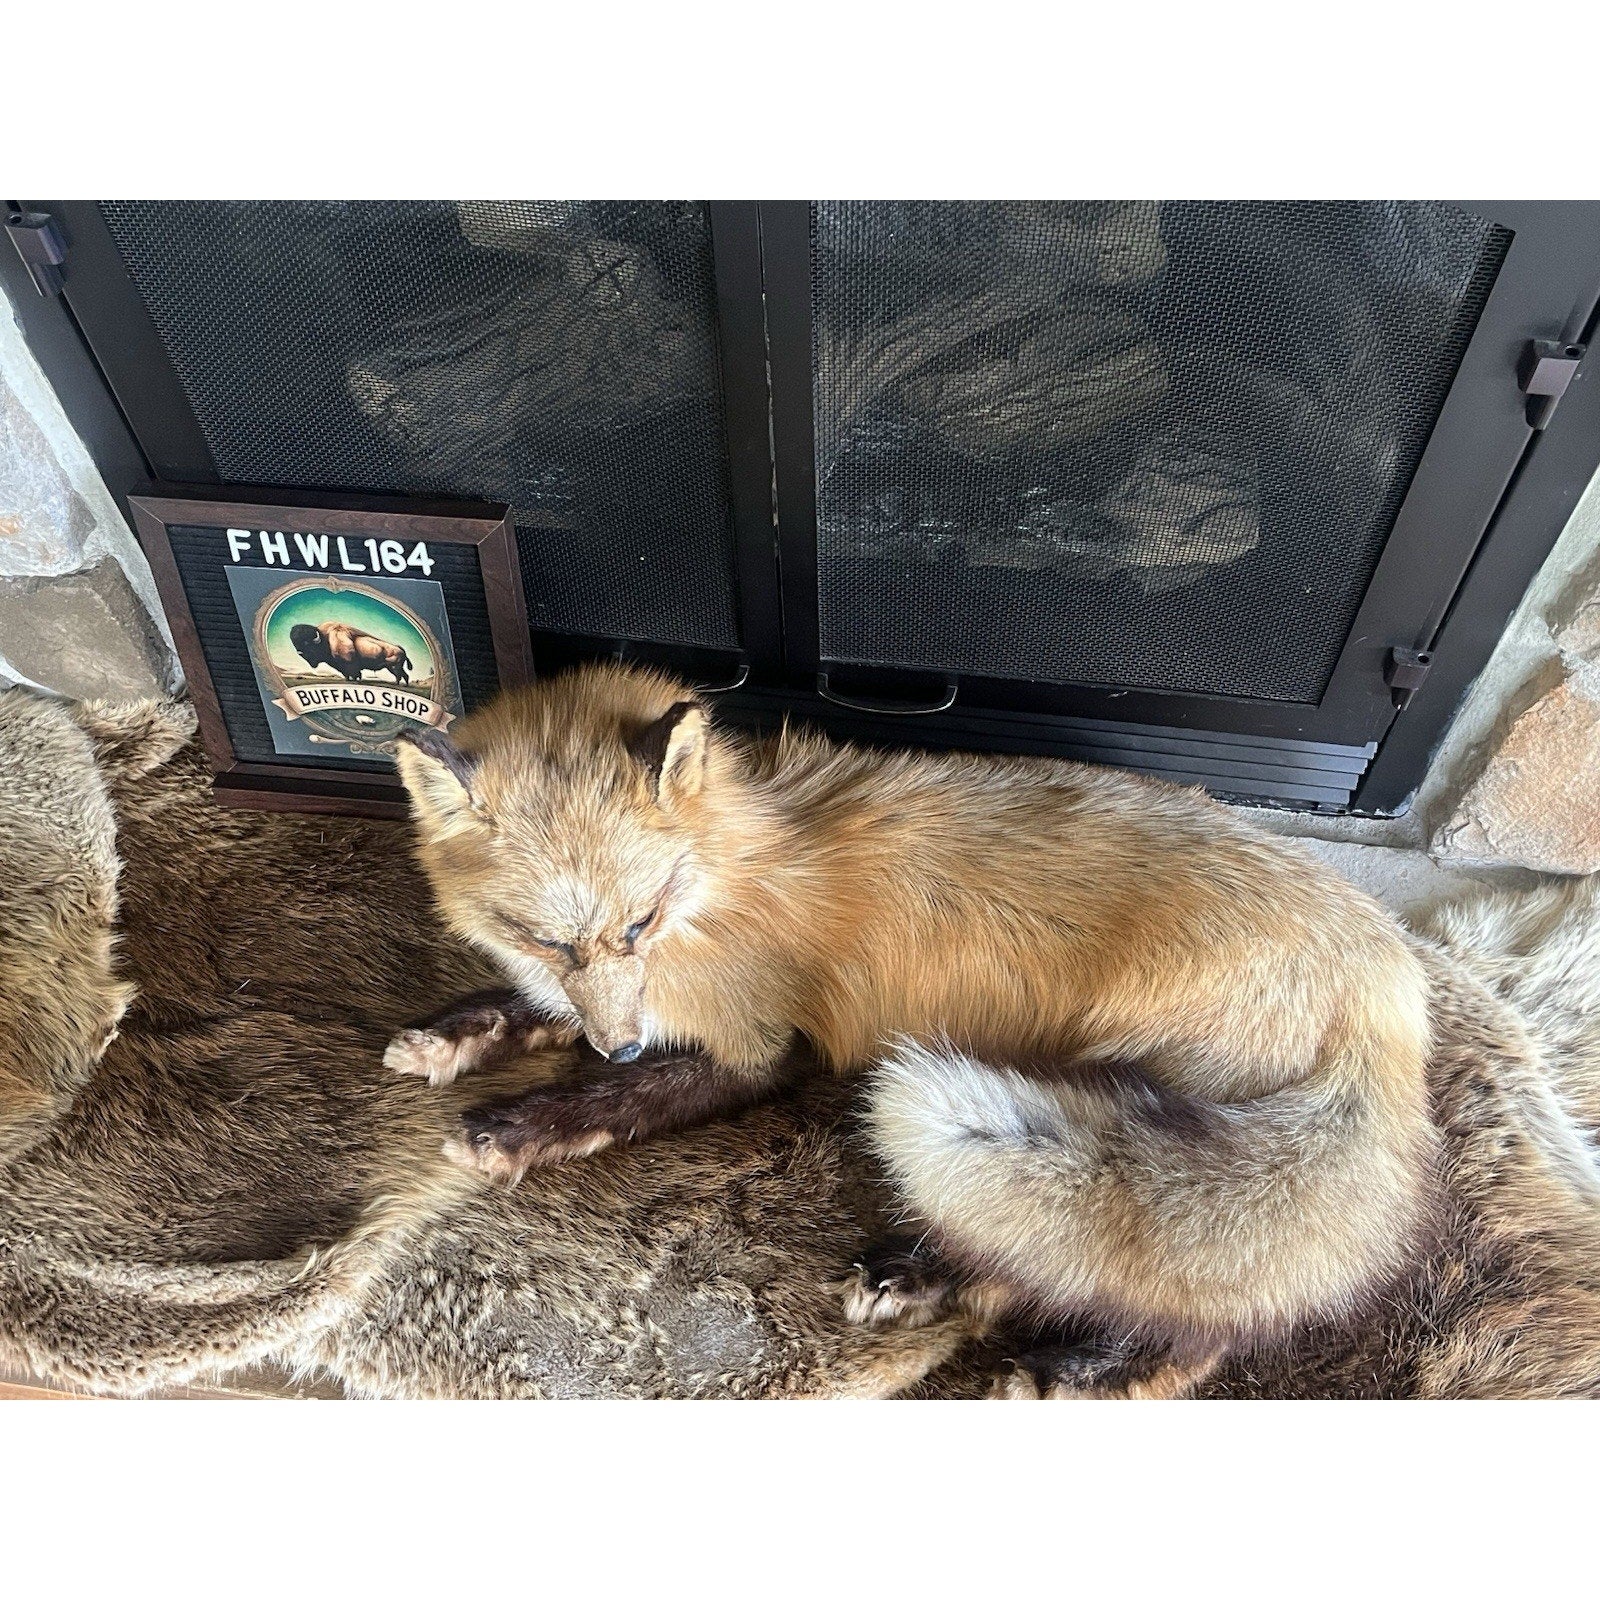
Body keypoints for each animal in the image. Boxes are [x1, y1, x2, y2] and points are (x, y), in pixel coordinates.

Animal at [387, 662, 1436, 1397]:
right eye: (546, 936)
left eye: (639, 921)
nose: (622, 1043)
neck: (722, 878)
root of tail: (1394, 983)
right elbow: (531, 1010)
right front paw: (455, 1036)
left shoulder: (762, 1046)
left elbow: (624, 1097)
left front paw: (521, 1124)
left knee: (1196, 1313)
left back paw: (1068, 1364)